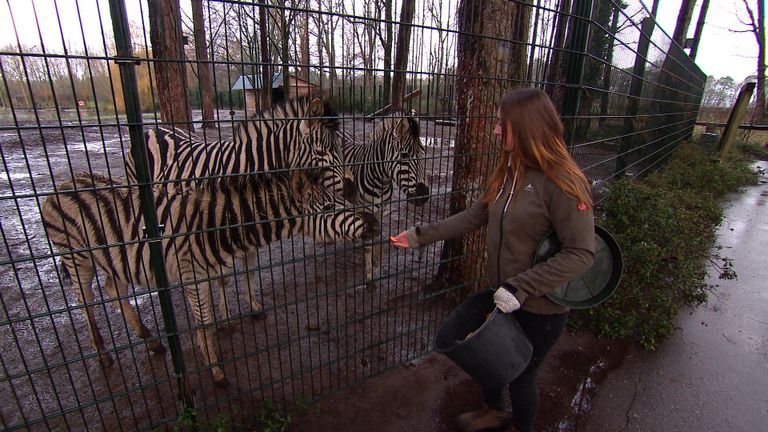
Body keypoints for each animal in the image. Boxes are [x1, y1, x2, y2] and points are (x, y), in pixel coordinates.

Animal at [42, 169, 378, 384]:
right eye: (331, 206)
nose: (375, 222)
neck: (219, 226)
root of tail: (63, 183)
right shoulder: (192, 274)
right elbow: (203, 322)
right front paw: (215, 368)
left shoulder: (213, 272)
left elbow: (218, 300)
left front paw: (221, 330)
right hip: (76, 257)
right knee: (85, 301)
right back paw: (102, 354)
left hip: (115, 259)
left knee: (113, 289)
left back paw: (151, 341)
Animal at [342, 110, 432, 286]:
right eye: (404, 156)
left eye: (424, 153)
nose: (424, 195)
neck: (381, 181)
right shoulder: (367, 212)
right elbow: (368, 246)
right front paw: (370, 277)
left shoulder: (382, 211)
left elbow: (378, 239)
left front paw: (377, 264)